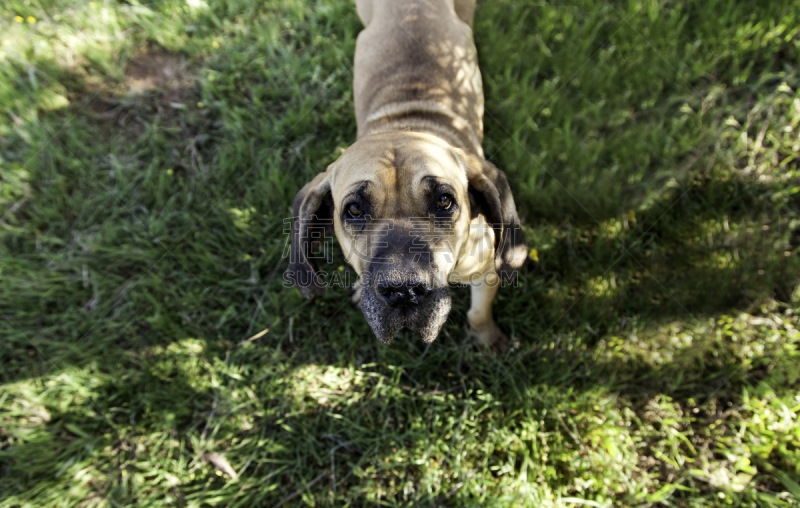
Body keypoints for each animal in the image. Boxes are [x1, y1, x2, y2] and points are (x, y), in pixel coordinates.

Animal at [284, 0, 528, 350]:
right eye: (354, 209)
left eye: (444, 201)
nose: (403, 292)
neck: (407, 122)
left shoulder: (486, 270)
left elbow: (480, 312)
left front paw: (488, 337)